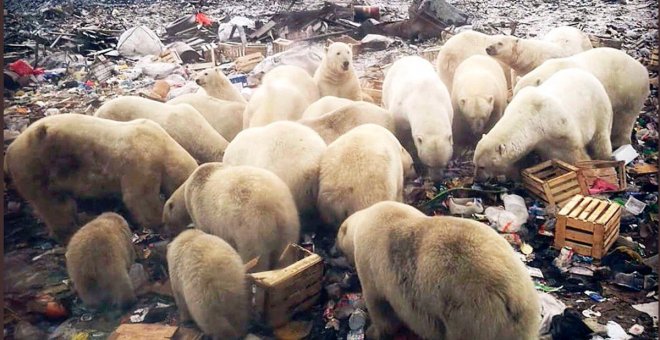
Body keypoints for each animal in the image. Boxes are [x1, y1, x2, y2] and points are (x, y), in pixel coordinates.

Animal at [4, 115, 196, 243]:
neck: (163, 145)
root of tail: (9, 152)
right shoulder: (141, 161)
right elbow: (139, 198)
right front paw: (158, 222)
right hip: (36, 166)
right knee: (54, 204)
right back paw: (70, 230)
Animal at [163, 163, 302, 272]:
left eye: (165, 222)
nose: (168, 235)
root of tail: (273, 209)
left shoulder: (200, 212)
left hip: (250, 230)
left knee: (255, 258)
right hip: (289, 223)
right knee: (285, 254)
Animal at [474, 68, 612, 181]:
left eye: (482, 166)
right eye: (474, 164)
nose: (477, 179)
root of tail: (587, 74)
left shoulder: (560, 128)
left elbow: (576, 154)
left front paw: (589, 171)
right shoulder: (540, 141)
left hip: (599, 108)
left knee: (601, 138)